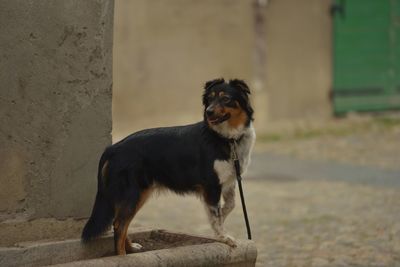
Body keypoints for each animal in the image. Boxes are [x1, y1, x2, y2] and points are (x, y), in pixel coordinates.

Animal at [82, 78, 256, 256]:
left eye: (226, 98)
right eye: (210, 99)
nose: (209, 112)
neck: (226, 138)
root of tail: (113, 148)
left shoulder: (228, 181)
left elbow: (229, 206)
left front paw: (222, 220)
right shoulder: (212, 185)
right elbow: (216, 215)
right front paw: (224, 237)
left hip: (139, 193)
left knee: (121, 223)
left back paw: (130, 248)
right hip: (132, 193)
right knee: (119, 224)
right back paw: (122, 255)